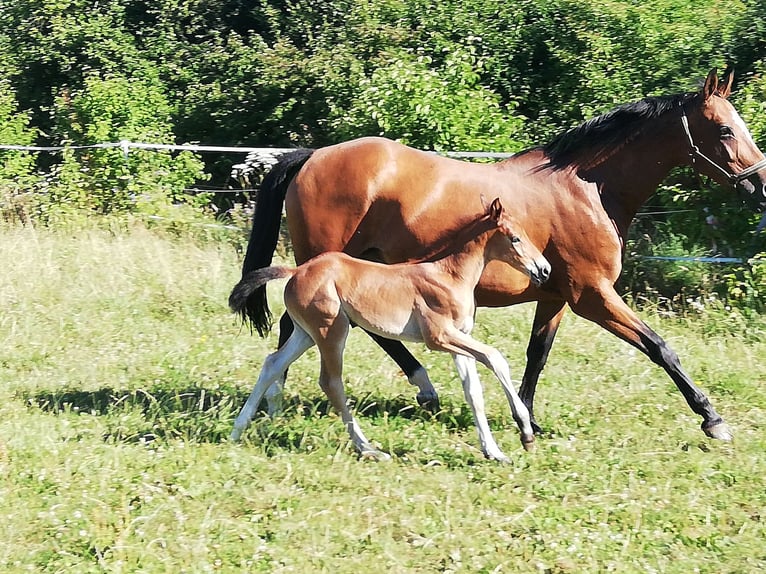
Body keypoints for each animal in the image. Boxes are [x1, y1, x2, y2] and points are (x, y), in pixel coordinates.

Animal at [228, 198, 552, 464]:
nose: (545, 270)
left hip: (305, 333)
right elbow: (495, 357)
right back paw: (369, 449)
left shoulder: (459, 339)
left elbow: (473, 392)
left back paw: (237, 429)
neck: (448, 276)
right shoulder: (439, 337)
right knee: (330, 381)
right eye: (515, 238)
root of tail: (297, 271)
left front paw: (494, 452)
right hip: (331, 329)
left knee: (272, 363)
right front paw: (525, 431)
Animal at [240, 68, 766, 446]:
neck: (588, 190)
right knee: (297, 326)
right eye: (724, 130)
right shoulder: (593, 296)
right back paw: (280, 403)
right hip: (326, 265)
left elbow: (537, 355)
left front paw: (526, 418)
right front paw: (712, 419)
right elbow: (660, 348)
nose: (760, 185)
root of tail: (311, 156)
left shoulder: (555, 296)